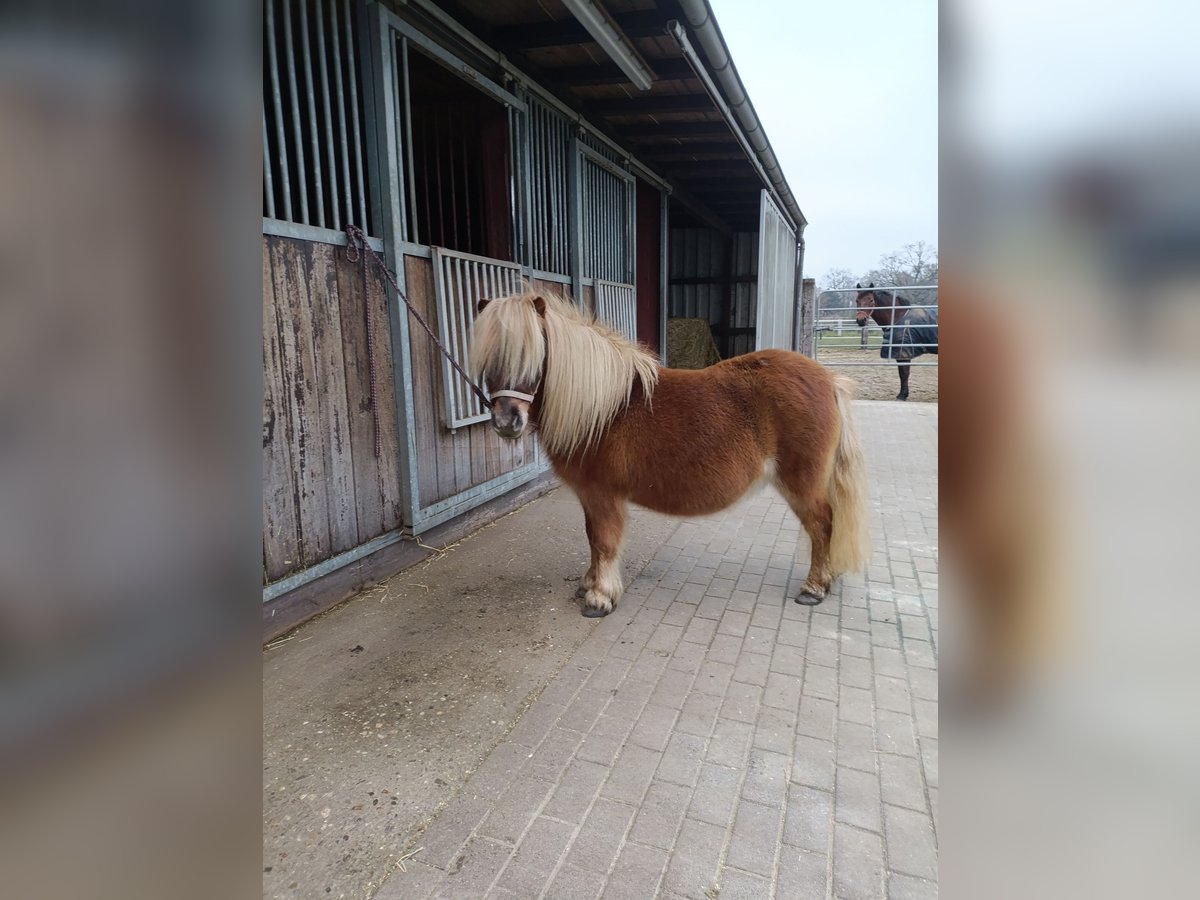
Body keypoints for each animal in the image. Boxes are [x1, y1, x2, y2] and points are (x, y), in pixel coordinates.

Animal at [470, 292, 873, 619]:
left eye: (534, 355)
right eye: (488, 359)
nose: (506, 422)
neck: (602, 409)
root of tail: (828, 380)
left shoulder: (603, 495)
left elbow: (604, 541)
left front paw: (601, 597)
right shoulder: (588, 496)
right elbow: (591, 537)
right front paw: (589, 583)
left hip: (802, 482)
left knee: (822, 524)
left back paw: (814, 588)